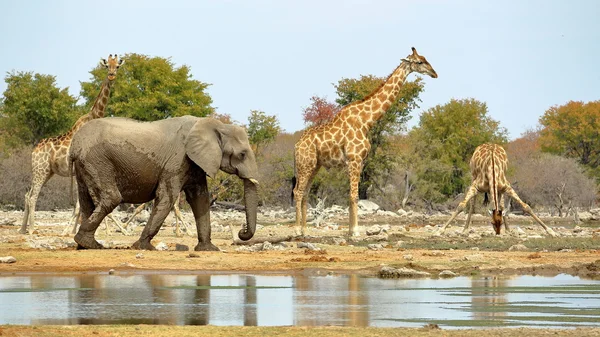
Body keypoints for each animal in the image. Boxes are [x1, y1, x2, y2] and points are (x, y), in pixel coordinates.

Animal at [19, 54, 124, 234]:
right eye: (106, 66)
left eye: (117, 66)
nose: (111, 75)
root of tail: (34, 150)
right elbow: (80, 205)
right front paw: (70, 230)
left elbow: (82, 205)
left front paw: (75, 230)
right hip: (40, 170)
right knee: (32, 197)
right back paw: (32, 229)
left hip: (46, 172)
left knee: (27, 195)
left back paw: (22, 229)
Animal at [68, 115, 258, 249]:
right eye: (242, 154)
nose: (242, 230)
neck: (215, 125)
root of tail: (74, 144)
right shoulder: (177, 161)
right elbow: (167, 197)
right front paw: (143, 247)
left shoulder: (194, 163)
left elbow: (200, 199)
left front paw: (209, 249)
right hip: (97, 161)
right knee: (111, 198)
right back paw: (88, 244)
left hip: (86, 166)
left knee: (86, 202)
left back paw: (84, 245)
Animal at [292, 47, 438, 236]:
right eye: (419, 62)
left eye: (425, 58)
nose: (434, 73)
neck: (367, 121)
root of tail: (296, 146)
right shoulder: (354, 159)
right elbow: (354, 196)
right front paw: (355, 231)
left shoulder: (360, 161)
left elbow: (353, 196)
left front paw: (350, 230)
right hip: (305, 164)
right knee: (298, 191)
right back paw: (296, 230)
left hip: (314, 165)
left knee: (305, 192)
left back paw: (304, 231)